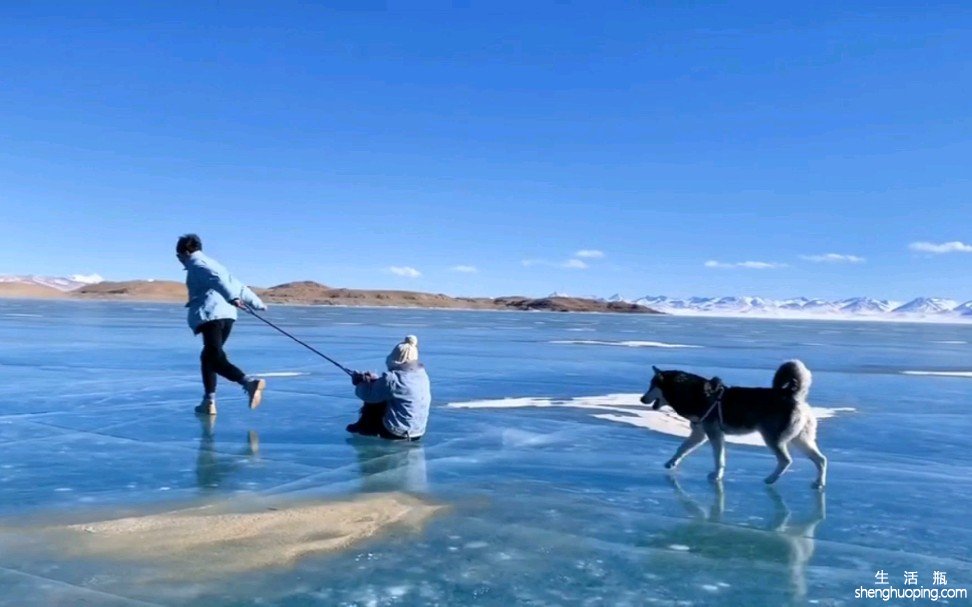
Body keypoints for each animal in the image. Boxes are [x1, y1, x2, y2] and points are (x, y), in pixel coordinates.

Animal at [636, 360, 828, 490]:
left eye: (652, 385)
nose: (642, 399)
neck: (694, 394)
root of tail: (793, 396)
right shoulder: (699, 433)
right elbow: (682, 448)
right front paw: (671, 462)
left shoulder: (714, 434)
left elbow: (719, 459)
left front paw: (716, 476)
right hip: (800, 439)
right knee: (821, 460)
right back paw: (819, 483)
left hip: (773, 439)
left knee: (786, 460)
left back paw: (771, 479)